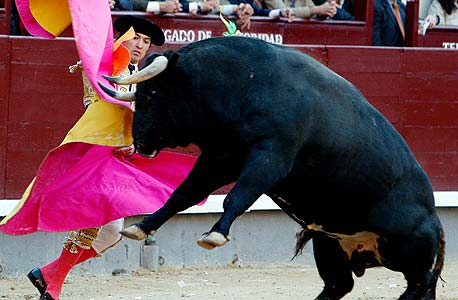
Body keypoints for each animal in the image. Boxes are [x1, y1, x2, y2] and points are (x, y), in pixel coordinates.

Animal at [100, 36, 444, 298]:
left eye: (153, 92)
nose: (139, 142)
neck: (245, 82)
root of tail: (436, 219)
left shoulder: (271, 156)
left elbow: (237, 196)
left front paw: (215, 234)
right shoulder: (220, 158)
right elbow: (183, 194)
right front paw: (141, 227)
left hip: (411, 253)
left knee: (420, 285)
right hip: (330, 246)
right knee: (339, 285)